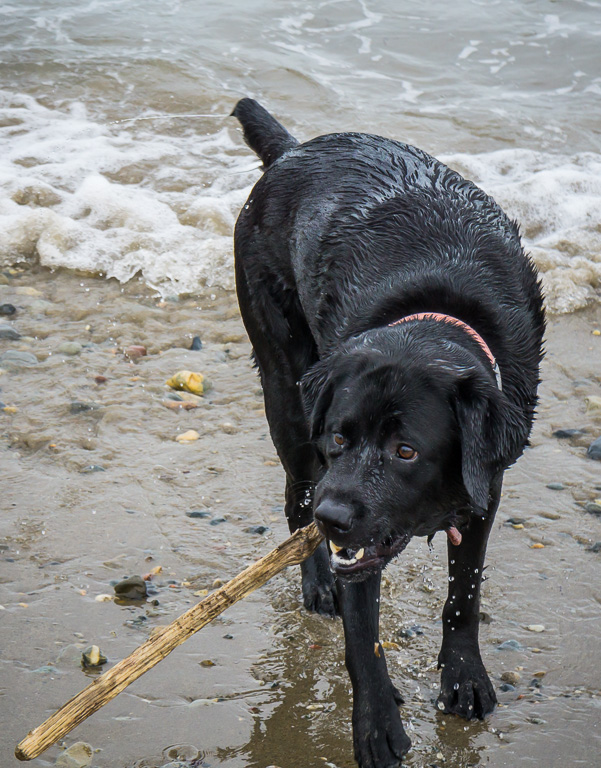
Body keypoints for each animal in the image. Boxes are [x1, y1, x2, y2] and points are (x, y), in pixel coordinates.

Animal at [230, 99, 544, 764]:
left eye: (406, 451)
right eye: (340, 440)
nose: (336, 518)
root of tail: (293, 150)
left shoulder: (485, 492)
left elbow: (464, 594)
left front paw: (463, 677)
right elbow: (362, 640)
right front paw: (376, 725)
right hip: (284, 389)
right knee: (296, 495)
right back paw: (316, 578)